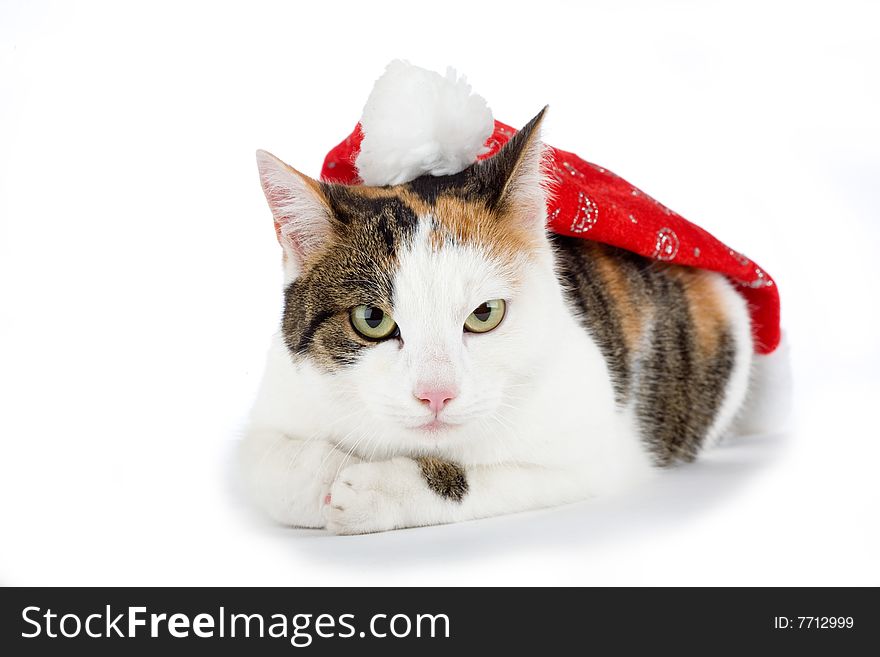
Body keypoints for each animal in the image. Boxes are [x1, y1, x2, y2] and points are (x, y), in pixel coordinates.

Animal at [241, 109, 768, 532]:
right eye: (371, 319)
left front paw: (378, 489)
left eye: (484, 314)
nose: (436, 394)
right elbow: (262, 463)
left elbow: (495, 479)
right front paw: (324, 471)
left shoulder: (596, 453)